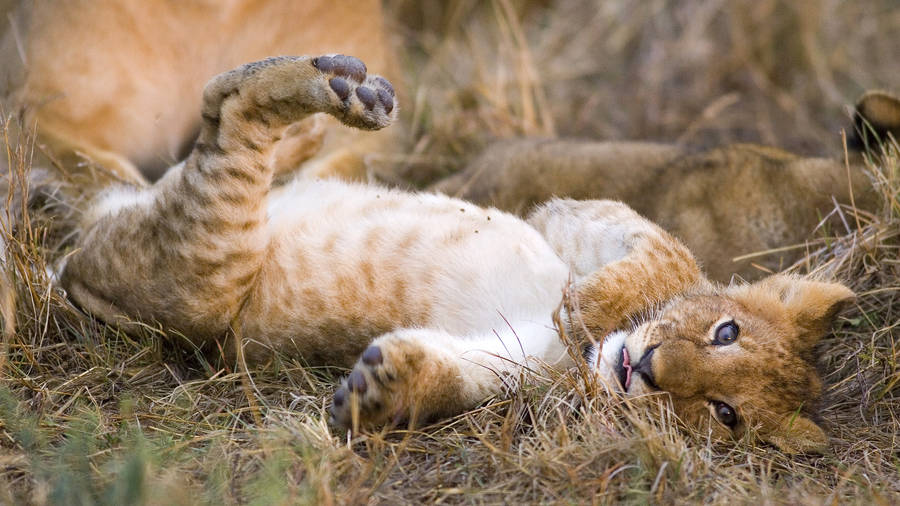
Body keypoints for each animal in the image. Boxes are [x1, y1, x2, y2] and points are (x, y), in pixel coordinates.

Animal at [52, 54, 853, 454]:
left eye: (723, 414)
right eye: (725, 332)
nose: (649, 371)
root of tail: (75, 279)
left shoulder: (514, 368)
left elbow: (454, 379)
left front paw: (381, 392)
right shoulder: (573, 215)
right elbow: (671, 258)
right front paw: (589, 305)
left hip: (204, 268)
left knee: (227, 118)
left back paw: (340, 87)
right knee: (228, 110)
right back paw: (348, 89)